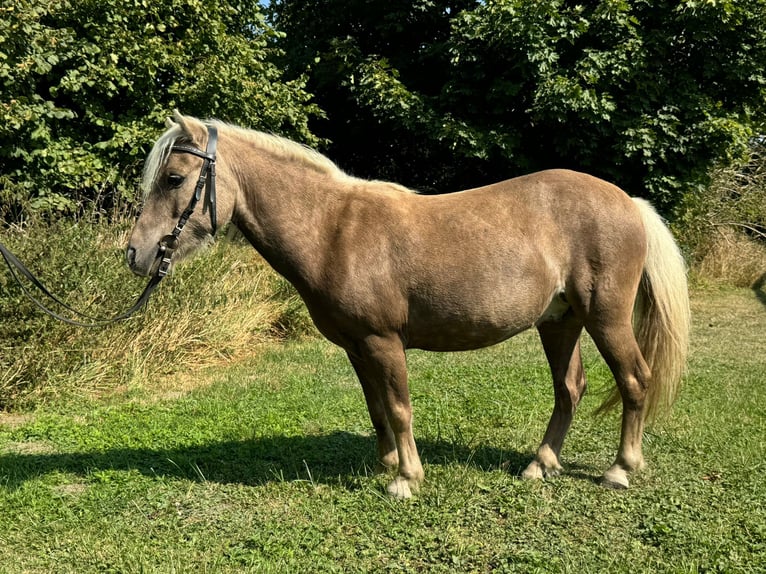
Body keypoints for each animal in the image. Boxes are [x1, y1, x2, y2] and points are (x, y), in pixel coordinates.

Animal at [129, 112, 692, 500]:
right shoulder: (357, 346)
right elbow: (376, 407)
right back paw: (540, 464)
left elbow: (399, 407)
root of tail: (627, 202)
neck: (333, 230)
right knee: (570, 389)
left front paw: (406, 478)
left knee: (635, 380)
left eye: (174, 178)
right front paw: (385, 464)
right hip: (560, 322)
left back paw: (620, 468)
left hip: (605, 318)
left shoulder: (383, 341)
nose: (136, 253)